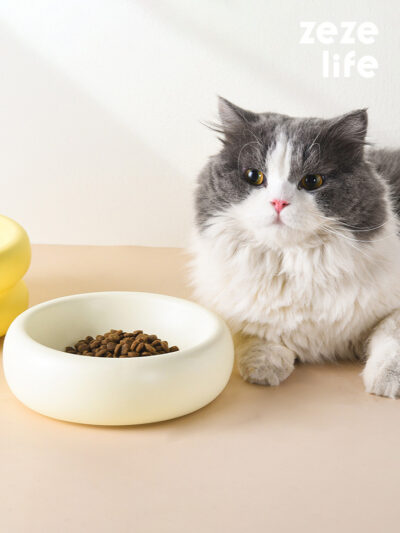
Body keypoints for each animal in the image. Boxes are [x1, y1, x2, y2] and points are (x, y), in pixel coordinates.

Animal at [189, 95, 400, 396]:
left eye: (312, 181)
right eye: (254, 176)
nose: (279, 202)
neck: (292, 266)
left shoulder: (392, 309)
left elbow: (390, 337)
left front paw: (386, 382)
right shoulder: (236, 313)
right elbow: (254, 335)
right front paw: (264, 368)